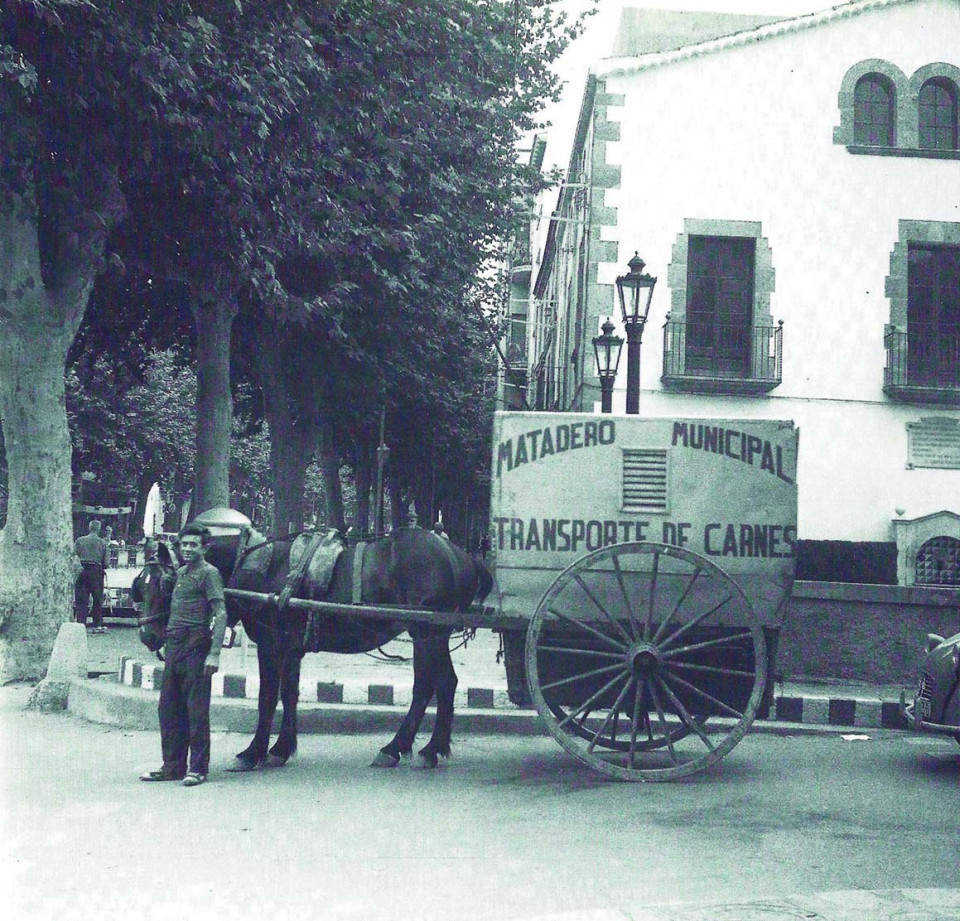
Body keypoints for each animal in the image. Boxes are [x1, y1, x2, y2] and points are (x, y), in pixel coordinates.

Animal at [192, 508, 494, 771]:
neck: (260, 568)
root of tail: (461, 556)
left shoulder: (270, 645)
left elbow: (266, 697)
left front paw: (252, 752)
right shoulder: (290, 647)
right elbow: (289, 693)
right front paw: (281, 749)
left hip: (426, 633)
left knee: (427, 686)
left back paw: (403, 749)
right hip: (435, 635)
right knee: (446, 683)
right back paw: (430, 748)